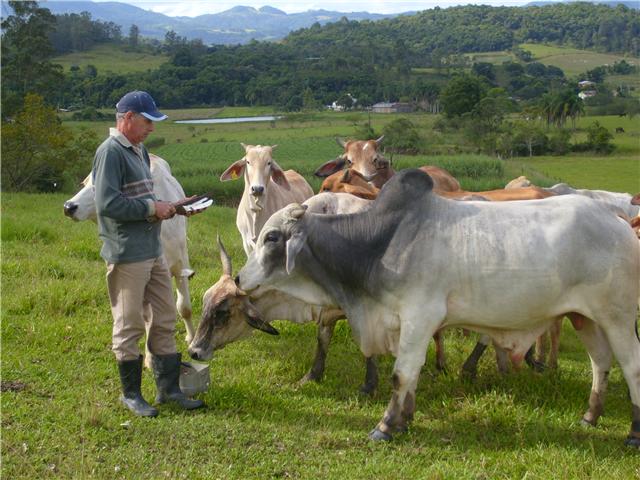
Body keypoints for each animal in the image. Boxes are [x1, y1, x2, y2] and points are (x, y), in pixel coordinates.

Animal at [236, 170, 640, 446]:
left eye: (272, 238)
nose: (240, 279)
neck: (381, 243)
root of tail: (618, 221)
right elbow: (411, 373)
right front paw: (405, 419)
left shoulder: (419, 316)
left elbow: (401, 373)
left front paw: (386, 426)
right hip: (584, 318)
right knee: (600, 362)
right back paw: (590, 416)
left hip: (618, 318)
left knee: (631, 365)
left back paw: (633, 432)